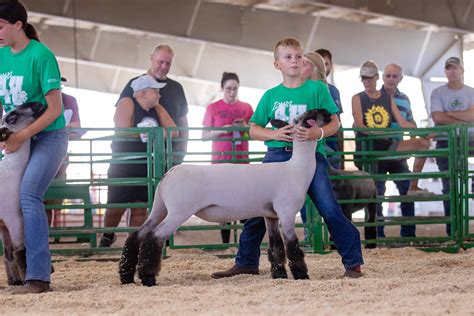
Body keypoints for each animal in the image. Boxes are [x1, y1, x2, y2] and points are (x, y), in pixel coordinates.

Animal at [120, 108, 332, 286]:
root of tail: (169, 173)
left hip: (160, 208)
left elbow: (276, 247)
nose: (328, 112)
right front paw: (301, 275)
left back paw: (126, 276)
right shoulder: (287, 213)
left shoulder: (271, 215)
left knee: (137, 235)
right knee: (154, 236)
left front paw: (279, 275)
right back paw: (148, 277)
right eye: (310, 115)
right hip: (178, 211)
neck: (297, 169)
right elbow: (292, 247)